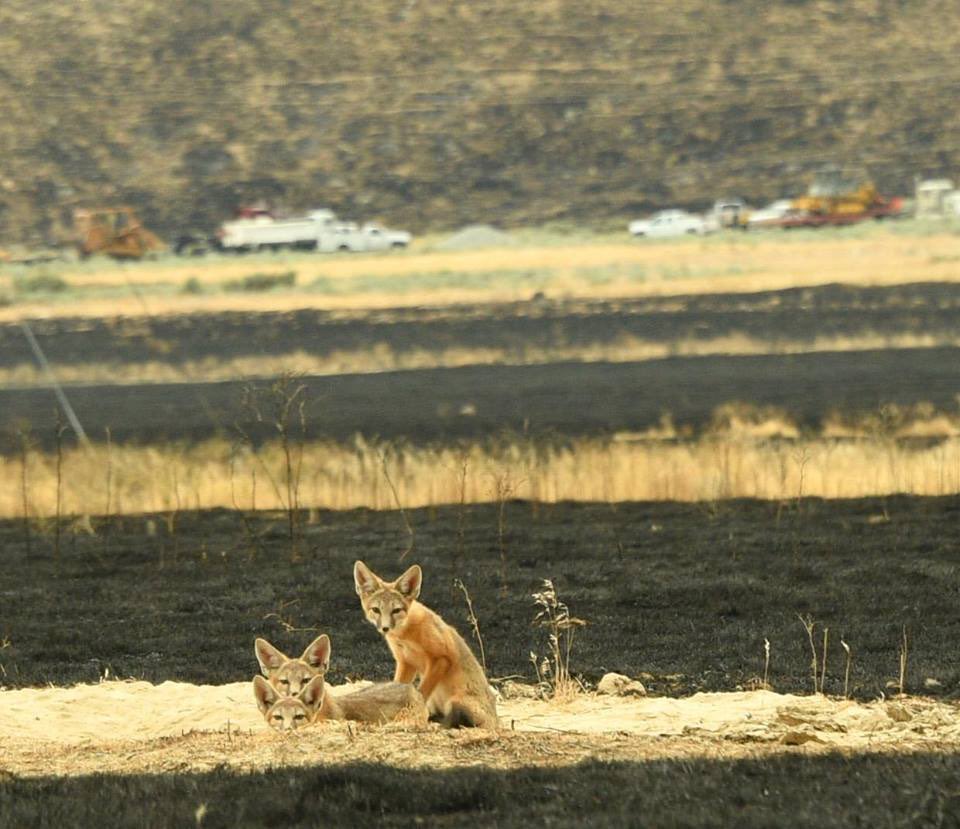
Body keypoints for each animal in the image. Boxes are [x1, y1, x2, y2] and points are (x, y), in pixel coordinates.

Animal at [353, 560, 498, 730]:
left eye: (396, 610)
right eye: (376, 610)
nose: (385, 628)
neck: (406, 635)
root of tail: (497, 720)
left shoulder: (441, 658)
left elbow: (421, 693)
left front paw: (410, 716)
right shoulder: (406, 663)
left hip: (456, 702)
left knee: (452, 722)